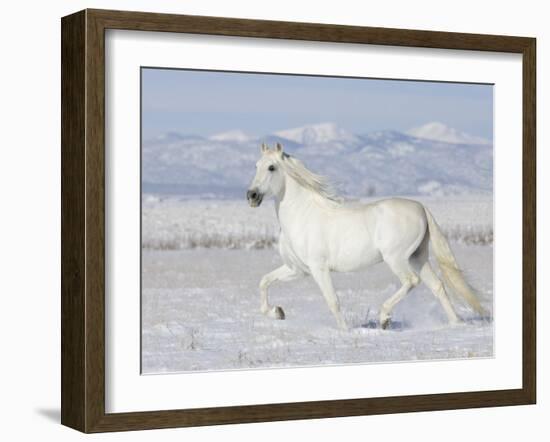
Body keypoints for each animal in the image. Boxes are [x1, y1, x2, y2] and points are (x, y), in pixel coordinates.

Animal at [248, 143, 486, 330]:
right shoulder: (297, 269)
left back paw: (384, 318)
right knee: (437, 286)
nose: (251, 195)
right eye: (256, 166)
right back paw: (455, 323)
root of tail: (420, 207)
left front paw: (345, 331)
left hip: (396, 258)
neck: (302, 215)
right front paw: (277, 312)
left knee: (411, 281)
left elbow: (332, 301)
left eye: (271, 167)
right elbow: (264, 281)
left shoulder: (318, 268)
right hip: (417, 258)